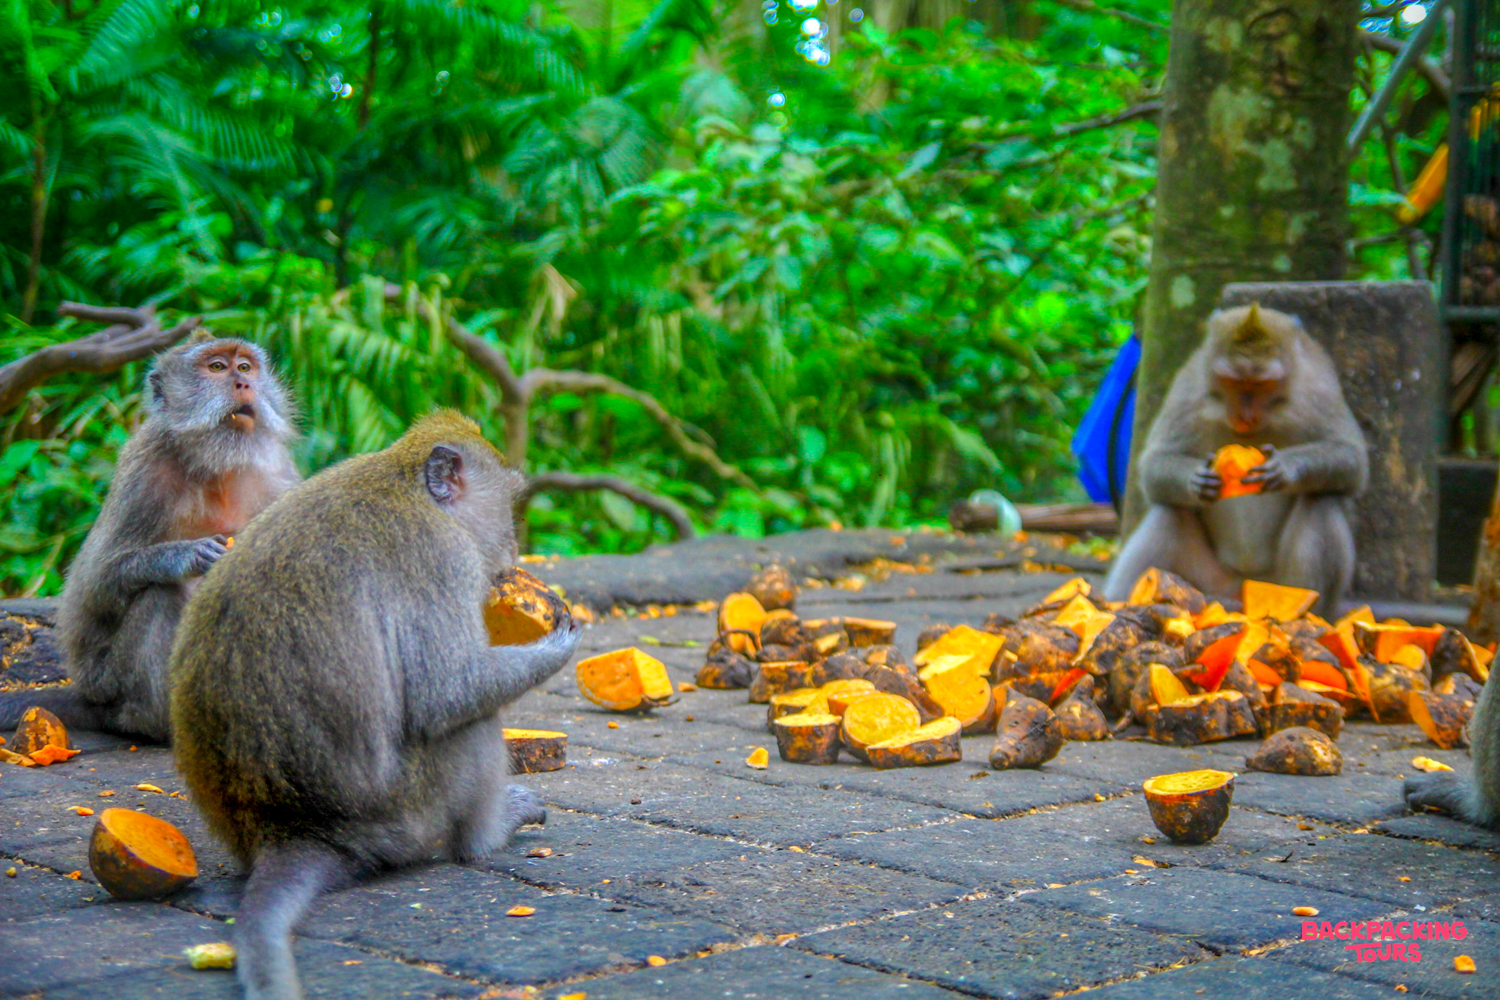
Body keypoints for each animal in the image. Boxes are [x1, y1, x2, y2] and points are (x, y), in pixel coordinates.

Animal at [0, 335, 298, 741]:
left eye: (245, 367)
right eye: (217, 368)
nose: (243, 384)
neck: (216, 463)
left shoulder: (278, 477)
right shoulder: (143, 471)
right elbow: (93, 585)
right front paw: (187, 555)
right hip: (111, 681)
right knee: (159, 596)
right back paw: (164, 724)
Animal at [168, 410, 581, 1000]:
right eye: (506, 505)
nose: (511, 551)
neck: (402, 481)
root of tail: (291, 828)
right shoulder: (442, 558)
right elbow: (443, 692)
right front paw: (558, 645)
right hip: (405, 814)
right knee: (468, 723)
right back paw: (487, 837)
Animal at [1103, 304, 1368, 618]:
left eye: (1262, 384)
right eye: (1233, 381)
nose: (1245, 415)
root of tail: (1244, 590)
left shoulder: (1317, 386)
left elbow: (1352, 460)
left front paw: (1286, 467)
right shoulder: (1190, 385)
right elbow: (1154, 464)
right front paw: (1195, 480)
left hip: (1277, 582)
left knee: (1321, 501)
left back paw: (1309, 614)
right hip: (1208, 583)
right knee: (1169, 512)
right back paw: (1118, 602)